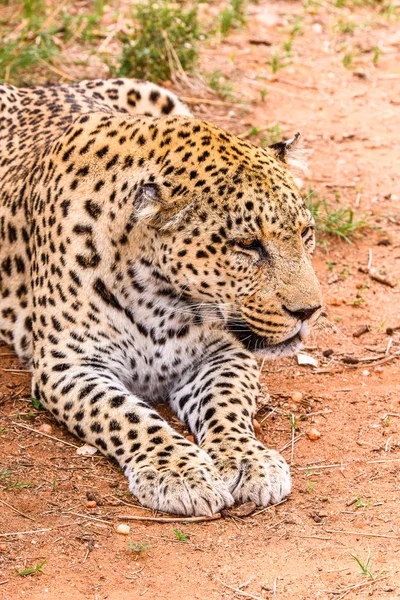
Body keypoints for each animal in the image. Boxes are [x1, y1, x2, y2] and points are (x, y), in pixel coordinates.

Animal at [0, 76, 322, 516]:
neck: (159, 296)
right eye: (247, 244)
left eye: (306, 234)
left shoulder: (224, 353)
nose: (309, 311)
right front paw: (180, 472)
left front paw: (247, 459)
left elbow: (227, 404)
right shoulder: (69, 365)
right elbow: (127, 415)